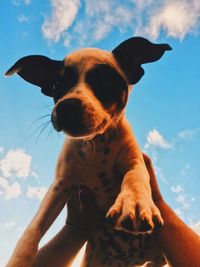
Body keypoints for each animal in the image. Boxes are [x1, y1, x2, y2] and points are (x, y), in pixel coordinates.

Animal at [5, 38, 171, 267]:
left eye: (105, 81)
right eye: (57, 85)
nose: (67, 107)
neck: (96, 145)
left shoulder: (134, 162)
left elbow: (135, 177)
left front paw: (136, 202)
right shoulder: (60, 186)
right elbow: (33, 230)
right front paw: (18, 260)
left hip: (158, 256)